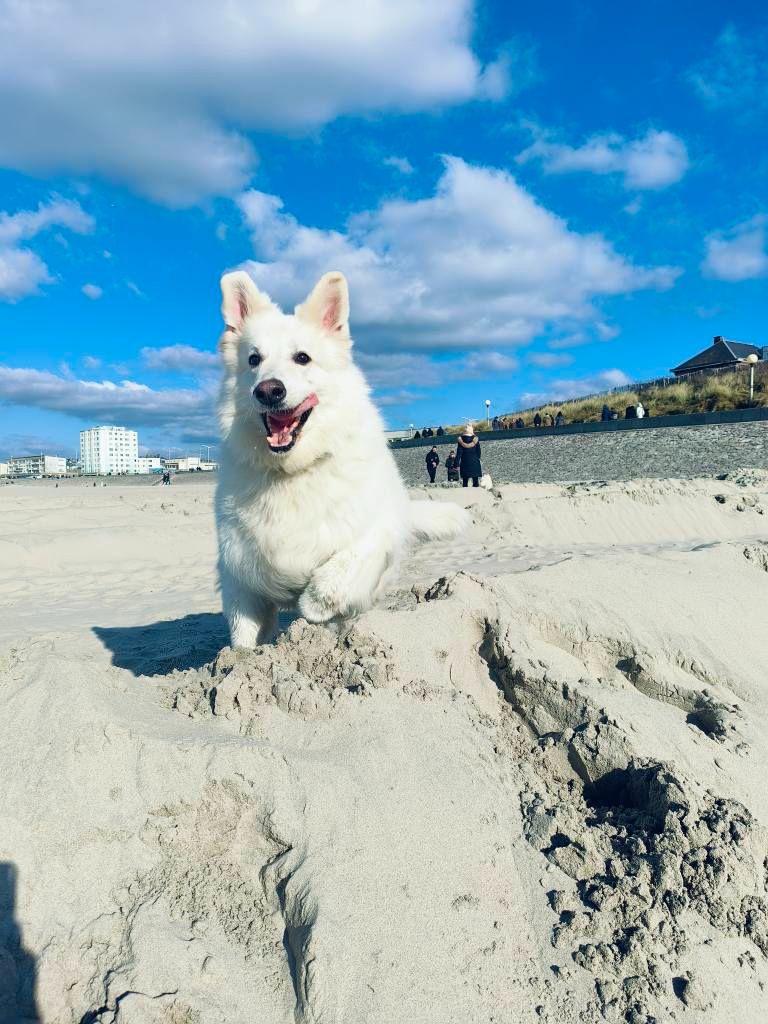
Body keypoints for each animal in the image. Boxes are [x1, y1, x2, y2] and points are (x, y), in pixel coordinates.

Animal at [215, 269, 469, 647]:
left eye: (302, 358)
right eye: (253, 360)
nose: (268, 390)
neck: (293, 472)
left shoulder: (371, 535)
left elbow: (333, 577)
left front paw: (313, 606)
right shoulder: (239, 572)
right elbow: (243, 636)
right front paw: (238, 660)